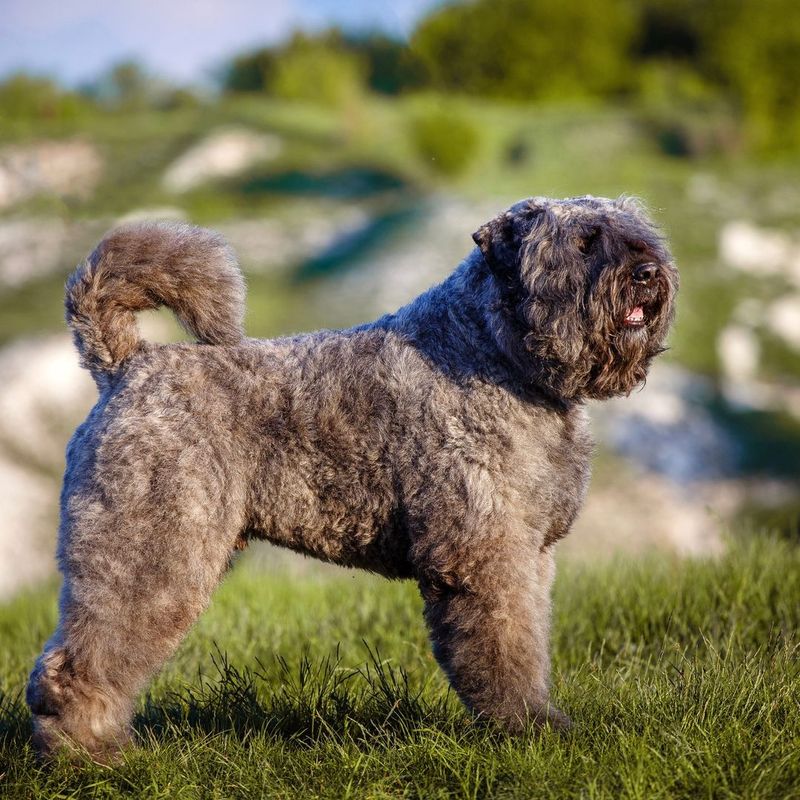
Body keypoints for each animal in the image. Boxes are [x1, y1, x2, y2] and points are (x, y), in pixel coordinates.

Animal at [26, 192, 676, 756]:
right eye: (586, 241)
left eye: (638, 233)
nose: (648, 272)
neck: (495, 350)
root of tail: (128, 365)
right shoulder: (487, 557)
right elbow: (504, 650)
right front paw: (526, 729)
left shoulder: (530, 555)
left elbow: (530, 642)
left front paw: (539, 719)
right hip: (152, 550)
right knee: (80, 659)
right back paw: (92, 752)